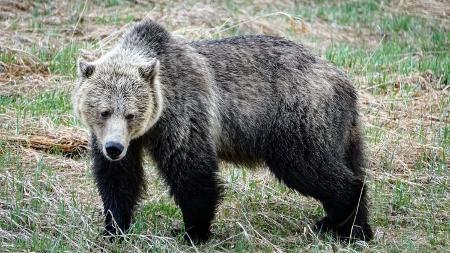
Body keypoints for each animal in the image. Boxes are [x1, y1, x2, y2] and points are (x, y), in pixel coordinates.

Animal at [70, 19, 372, 241]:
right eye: (103, 111)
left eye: (130, 113)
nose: (114, 148)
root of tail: (344, 82)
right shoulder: (118, 138)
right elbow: (119, 179)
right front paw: (114, 228)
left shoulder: (183, 114)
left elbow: (192, 173)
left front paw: (192, 232)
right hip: (340, 131)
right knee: (349, 164)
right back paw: (344, 225)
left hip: (296, 116)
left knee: (310, 167)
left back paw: (346, 224)